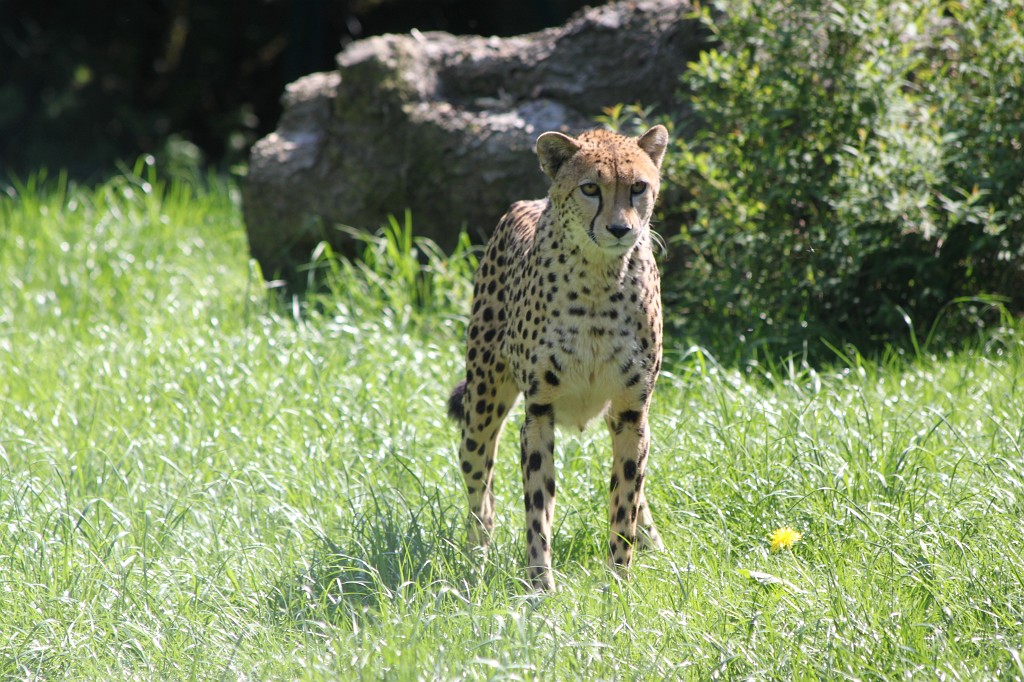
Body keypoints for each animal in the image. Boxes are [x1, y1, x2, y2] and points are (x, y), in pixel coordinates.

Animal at [447, 125, 669, 591]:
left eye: (638, 187)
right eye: (590, 188)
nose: (620, 229)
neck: (600, 280)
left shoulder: (631, 412)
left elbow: (625, 500)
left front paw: (619, 583)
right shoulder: (539, 412)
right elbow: (537, 506)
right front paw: (539, 585)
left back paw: (658, 548)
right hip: (481, 405)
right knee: (479, 490)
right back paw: (476, 562)